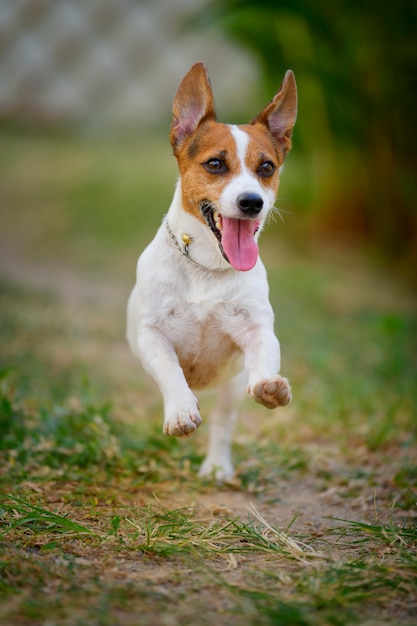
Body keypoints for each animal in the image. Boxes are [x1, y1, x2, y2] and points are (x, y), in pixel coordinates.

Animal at [126, 62, 296, 478]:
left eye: (266, 167)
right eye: (215, 164)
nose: (251, 202)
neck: (206, 266)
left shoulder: (255, 329)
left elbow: (265, 354)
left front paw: (270, 385)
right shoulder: (152, 335)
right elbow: (170, 370)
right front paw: (180, 410)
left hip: (231, 387)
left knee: (223, 423)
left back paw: (217, 465)